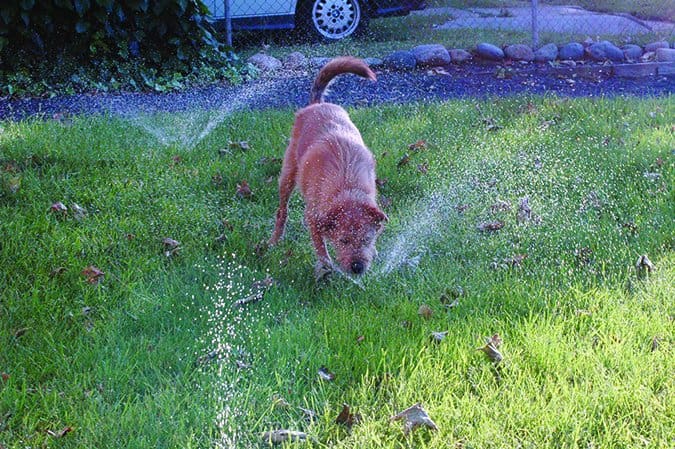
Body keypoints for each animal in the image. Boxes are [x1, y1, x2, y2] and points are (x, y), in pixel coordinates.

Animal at [268, 57, 388, 276]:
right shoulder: (314, 217)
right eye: (343, 240)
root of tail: (317, 105)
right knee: (282, 211)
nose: (357, 267)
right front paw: (326, 268)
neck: (348, 186)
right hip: (287, 175)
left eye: (366, 239)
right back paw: (274, 240)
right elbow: (320, 247)